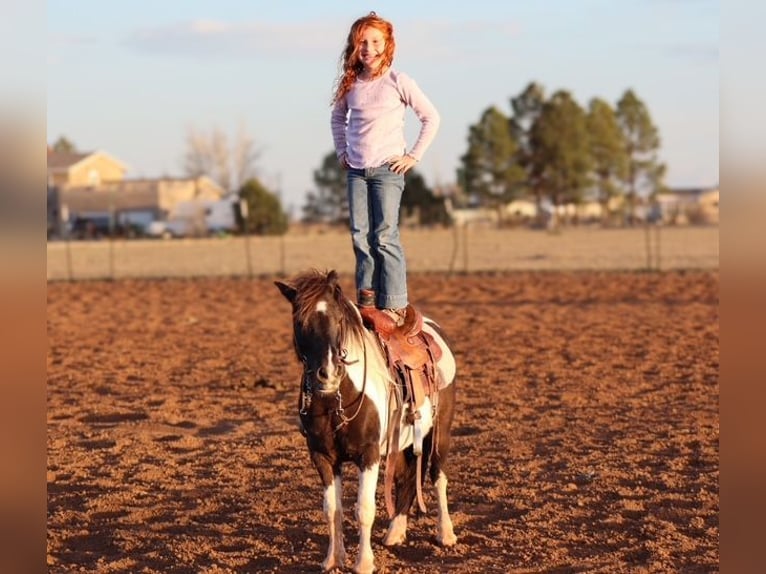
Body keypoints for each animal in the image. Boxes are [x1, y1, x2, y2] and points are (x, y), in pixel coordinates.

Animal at [275, 269, 457, 574]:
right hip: (402, 442)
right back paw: (395, 531)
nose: (328, 373)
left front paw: (364, 563)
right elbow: (332, 509)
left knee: (437, 475)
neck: (336, 399)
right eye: (300, 321)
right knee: (407, 477)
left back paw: (446, 534)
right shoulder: (322, 456)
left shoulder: (368, 454)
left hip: (439, 431)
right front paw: (333, 559)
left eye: (338, 319)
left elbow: (364, 510)